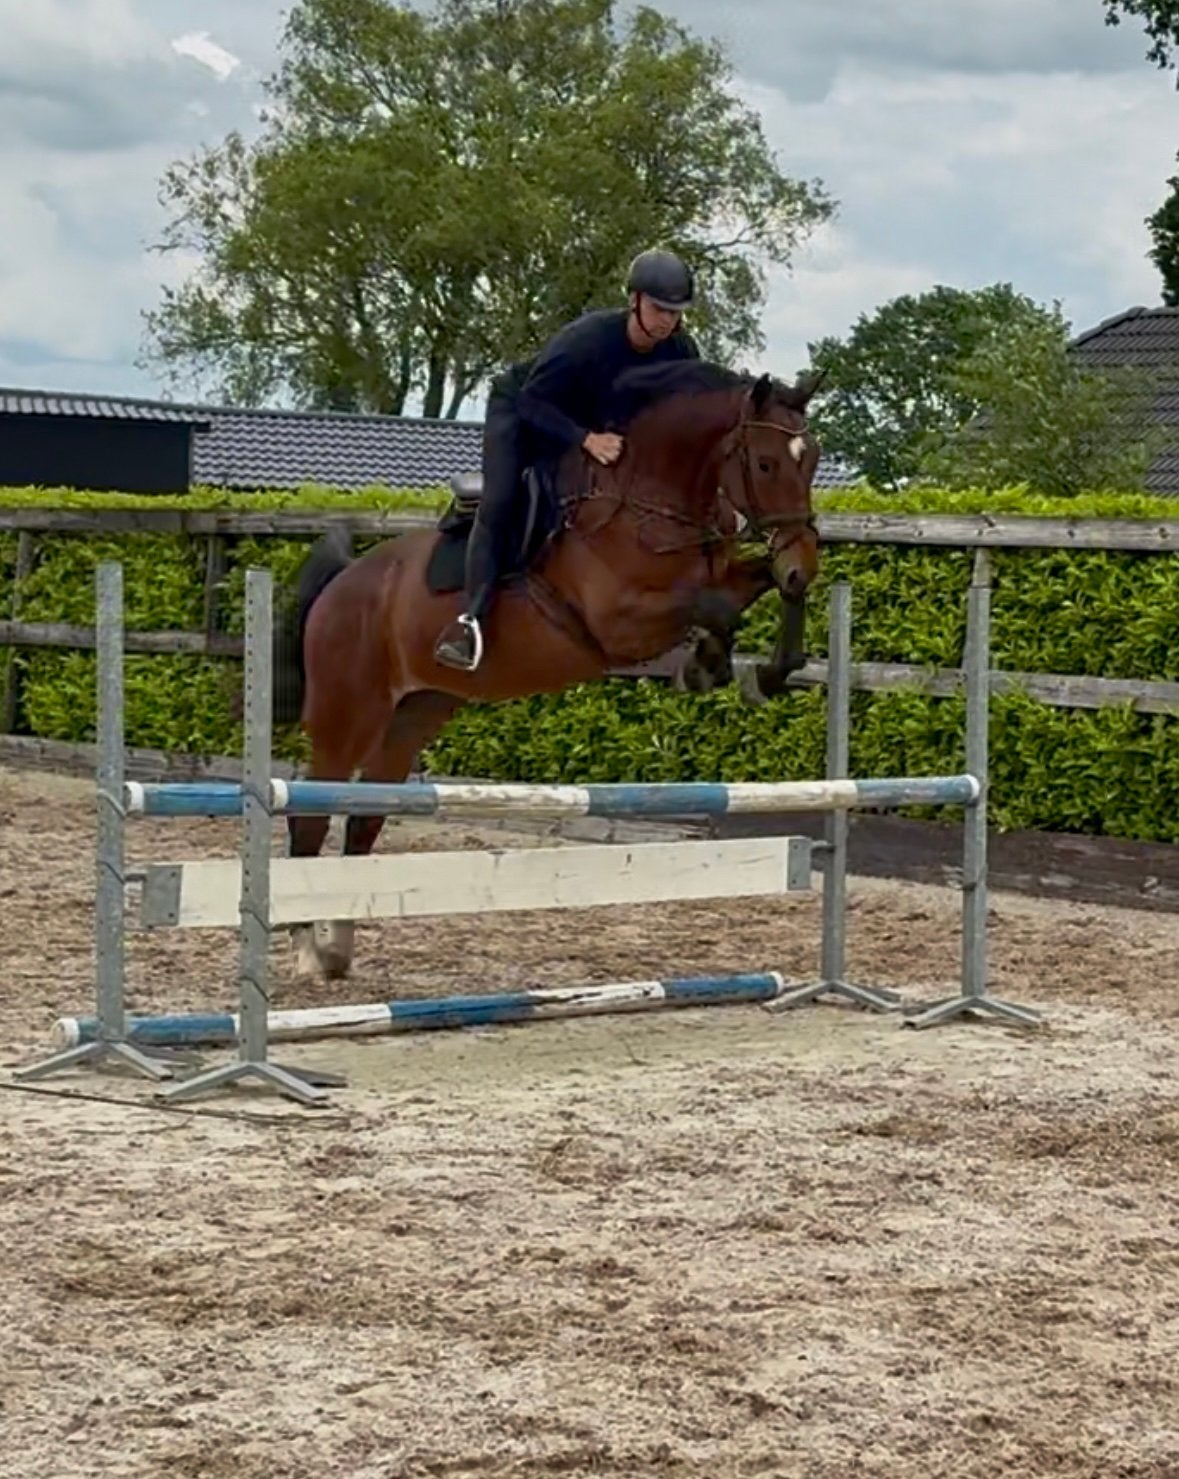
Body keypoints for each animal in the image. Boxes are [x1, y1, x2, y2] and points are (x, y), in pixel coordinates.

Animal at [270, 357, 825, 982]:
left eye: (813, 459)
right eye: (765, 462)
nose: (804, 559)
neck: (647, 499)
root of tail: (340, 585)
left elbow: (759, 589)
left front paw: (760, 668)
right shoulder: (620, 621)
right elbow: (715, 606)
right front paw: (708, 661)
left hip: (412, 715)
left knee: (364, 819)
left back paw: (338, 947)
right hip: (349, 715)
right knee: (311, 817)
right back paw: (308, 950)